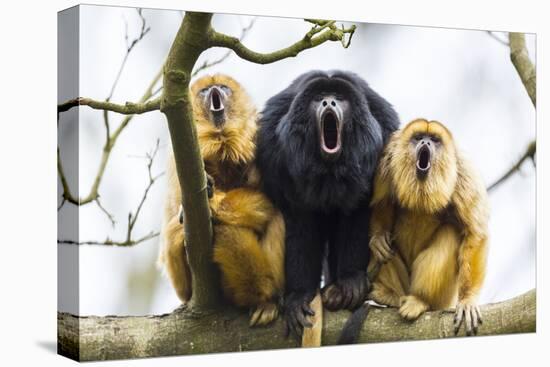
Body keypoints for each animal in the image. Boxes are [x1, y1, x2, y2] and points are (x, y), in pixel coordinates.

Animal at [156, 73, 282, 326]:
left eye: (223, 88)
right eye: (205, 91)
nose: (215, 90)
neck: (222, 141)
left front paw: (214, 206)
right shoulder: (178, 160)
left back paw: (266, 299)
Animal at [368, 118, 490, 336]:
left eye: (434, 139)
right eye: (418, 138)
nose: (425, 143)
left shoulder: (464, 173)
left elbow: (475, 234)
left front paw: (468, 300)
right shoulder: (386, 159)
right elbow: (381, 203)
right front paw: (379, 238)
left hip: (444, 299)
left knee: (450, 234)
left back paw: (421, 300)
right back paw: (390, 295)